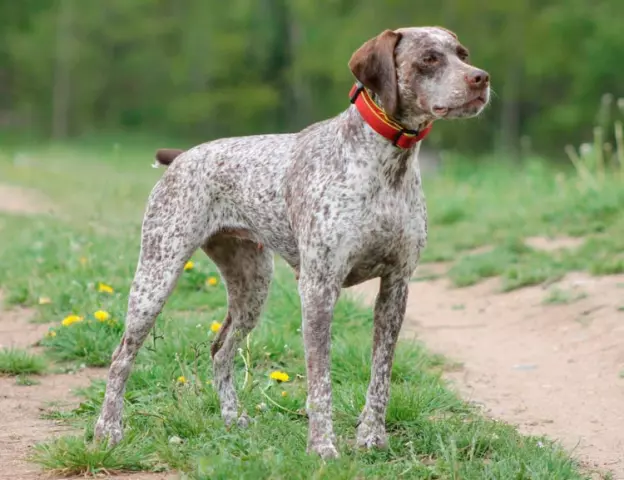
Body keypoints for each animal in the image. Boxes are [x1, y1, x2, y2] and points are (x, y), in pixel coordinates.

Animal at [95, 25, 490, 458]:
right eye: (429, 59)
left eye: (463, 54)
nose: (481, 78)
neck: (387, 165)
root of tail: (181, 157)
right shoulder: (319, 287)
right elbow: (321, 382)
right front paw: (322, 448)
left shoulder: (396, 286)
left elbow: (380, 376)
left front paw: (371, 436)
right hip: (156, 276)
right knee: (121, 356)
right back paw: (108, 430)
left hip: (252, 287)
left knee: (220, 350)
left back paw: (232, 418)